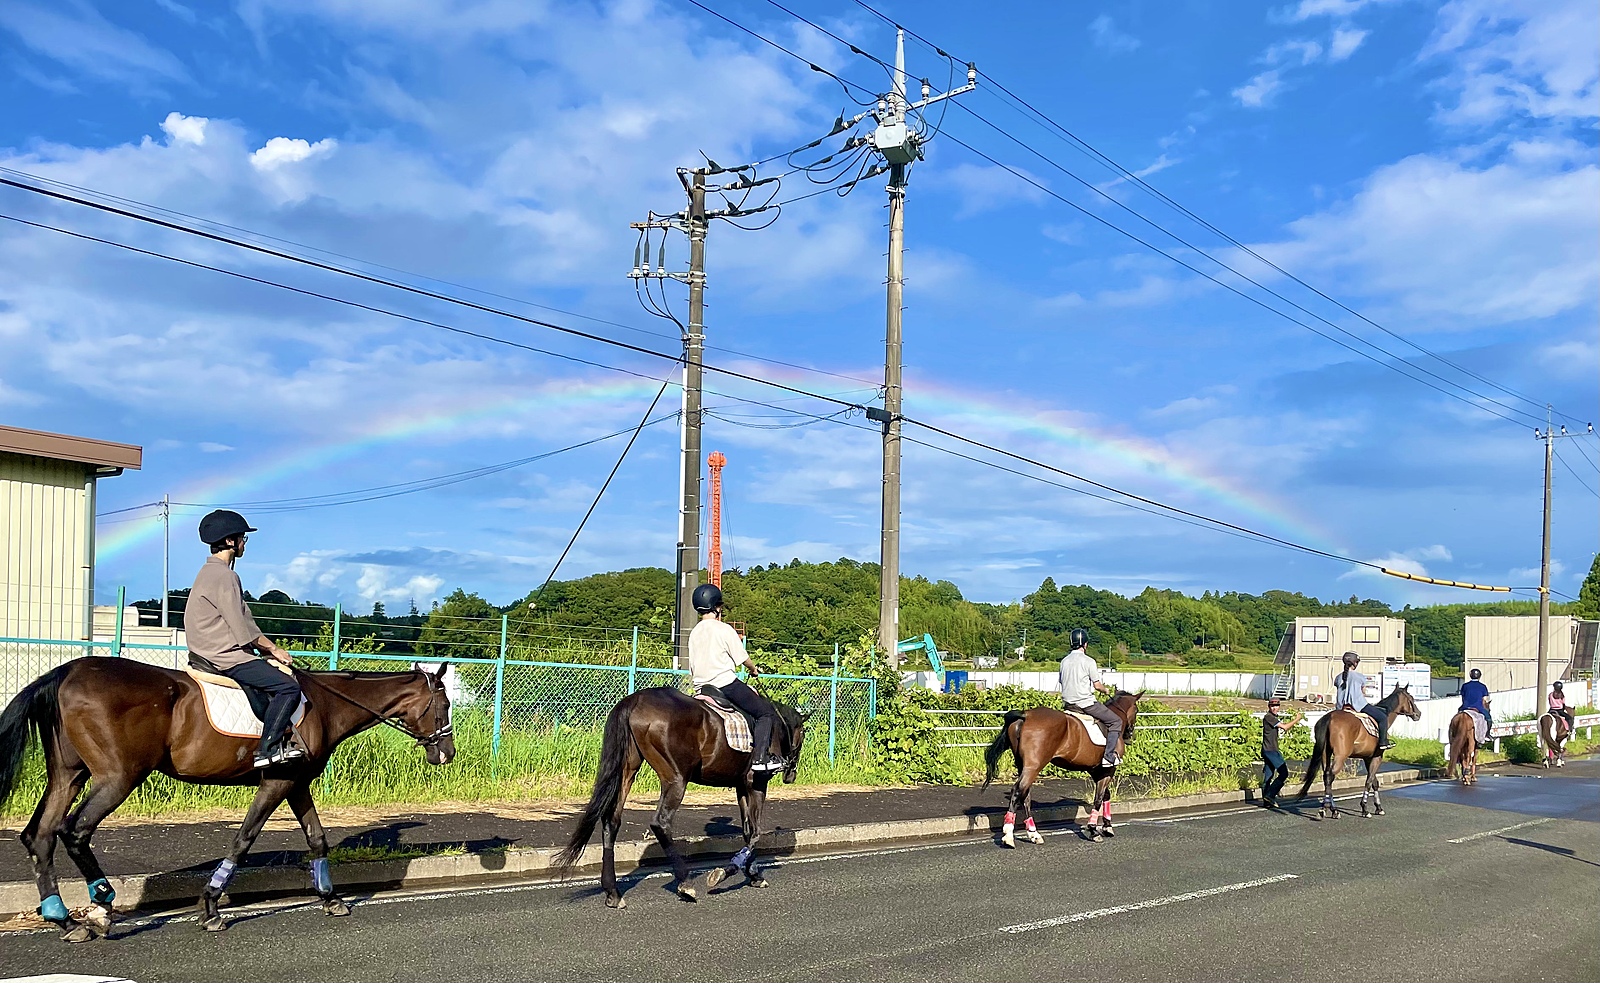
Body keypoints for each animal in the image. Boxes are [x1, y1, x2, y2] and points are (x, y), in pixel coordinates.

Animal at [0, 659, 457, 941]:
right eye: (444, 704)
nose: (447, 753)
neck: (325, 704)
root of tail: (68, 671)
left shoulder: (296, 783)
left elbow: (317, 838)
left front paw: (331, 899)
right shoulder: (276, 782)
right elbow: (244, 839)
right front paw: (209, 907)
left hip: (69, 774)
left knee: (40, 835)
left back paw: (64, 921)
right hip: (118, 777)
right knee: (74, 831)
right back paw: (101, 904)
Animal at [556, 685, 812, 909]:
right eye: (802, 735)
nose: (791, 774)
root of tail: (636, 700)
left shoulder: (742, 786)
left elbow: (748, 830)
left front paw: (753, 874)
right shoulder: (756, 784)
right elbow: (756, 832)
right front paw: (726, 873)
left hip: (627, 770)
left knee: (612, 821)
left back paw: (613, 893)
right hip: (676, 778)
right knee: (660, 823)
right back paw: (685, 884)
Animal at [979, 694, 1145, 845]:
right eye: (1136, 710)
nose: (1130, 735)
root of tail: (1026, 714)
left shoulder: (1095, 769)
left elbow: (1105, 795)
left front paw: (1107, 827)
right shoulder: (1108, 769)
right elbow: (1099, 798)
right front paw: (1094, 830)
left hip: (1023, 765)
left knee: (1025, 794)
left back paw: (1033, 833)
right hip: (1034, 765)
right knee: (1018, 791)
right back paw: (1008, 835)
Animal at [1292, 682, 1420, 819]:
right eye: (1411, 699)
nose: (1418, 714)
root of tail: (1329, 717)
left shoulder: (1368, 758)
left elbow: (1374, 782)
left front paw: (1378, 807)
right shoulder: (1377, 757)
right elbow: (1369, 781)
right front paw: (1365, 808)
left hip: (1325, 755)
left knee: (1326, 777)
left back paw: (1332, 809)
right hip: (1340, 756)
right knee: (1330, 776)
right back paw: (1326, 809)